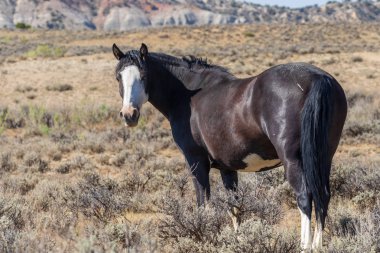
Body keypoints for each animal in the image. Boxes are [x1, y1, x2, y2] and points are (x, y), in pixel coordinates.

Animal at [110, 42, 348, 250]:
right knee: (323, 195)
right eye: (118, 77)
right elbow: (234, 206)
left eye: (144, 75)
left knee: (305, 197)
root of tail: (317, 78)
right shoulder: (228, 168)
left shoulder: (196, 162)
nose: (129, 115)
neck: (188, 95)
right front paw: (238, 240)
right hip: (323, 158)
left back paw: (306, 246)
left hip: (294, 161)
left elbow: (203, 202)